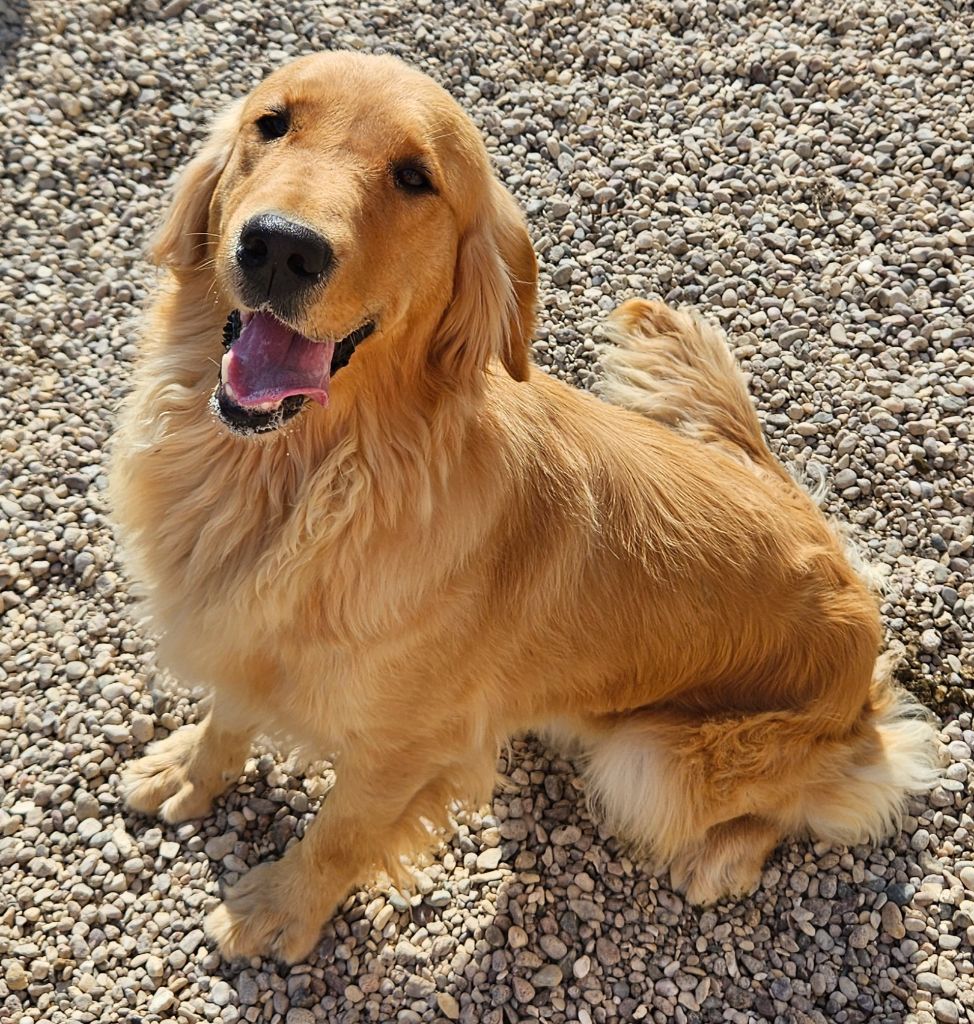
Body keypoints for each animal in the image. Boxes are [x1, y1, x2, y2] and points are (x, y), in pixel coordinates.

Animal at [110, 51, 942, 962]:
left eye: (415, 178)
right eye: (271, 123)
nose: (280, 248)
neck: (305, 481)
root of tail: (853, 592)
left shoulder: (400, 748)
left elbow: (338, 834)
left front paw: (277, 910)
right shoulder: (241, 626)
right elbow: (228, 719)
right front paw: (187, 771)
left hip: (656, 762)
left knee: (846, 788)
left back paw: (723, 857)